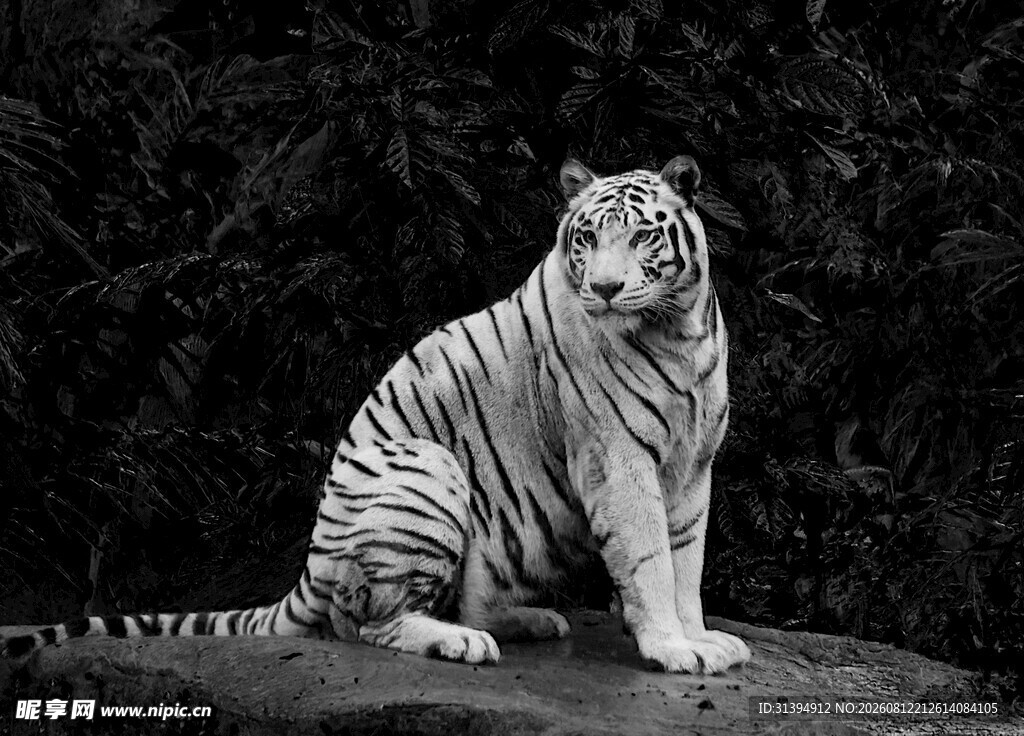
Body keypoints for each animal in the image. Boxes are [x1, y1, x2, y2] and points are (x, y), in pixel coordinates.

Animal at [2, 156, 751, 674]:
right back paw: (463, 642)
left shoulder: (694, 465)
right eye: (587, 240)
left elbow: (687, 559)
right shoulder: (618, 459)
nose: (604, 288)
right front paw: (672, 649)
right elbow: (651, 558)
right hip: (429, 469)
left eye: (642, 238)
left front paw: (700, 636)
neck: (677, 330)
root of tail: (309, 565)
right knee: (368, 621)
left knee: (465, 595)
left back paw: (531, 621)